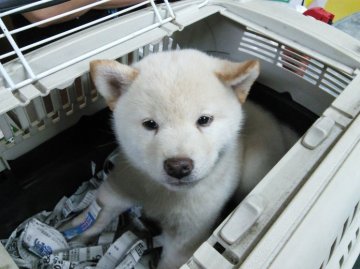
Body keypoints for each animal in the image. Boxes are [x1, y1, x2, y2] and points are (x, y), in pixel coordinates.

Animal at [72, 49, 296, 266]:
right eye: (150, 124)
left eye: (204, 120)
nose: (178, 166)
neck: (163, 195)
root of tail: (280, 127)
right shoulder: (120, 186)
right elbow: (96, 217)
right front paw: (75, 238)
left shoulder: (186, 237)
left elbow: (171, 261)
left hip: (253, 169)